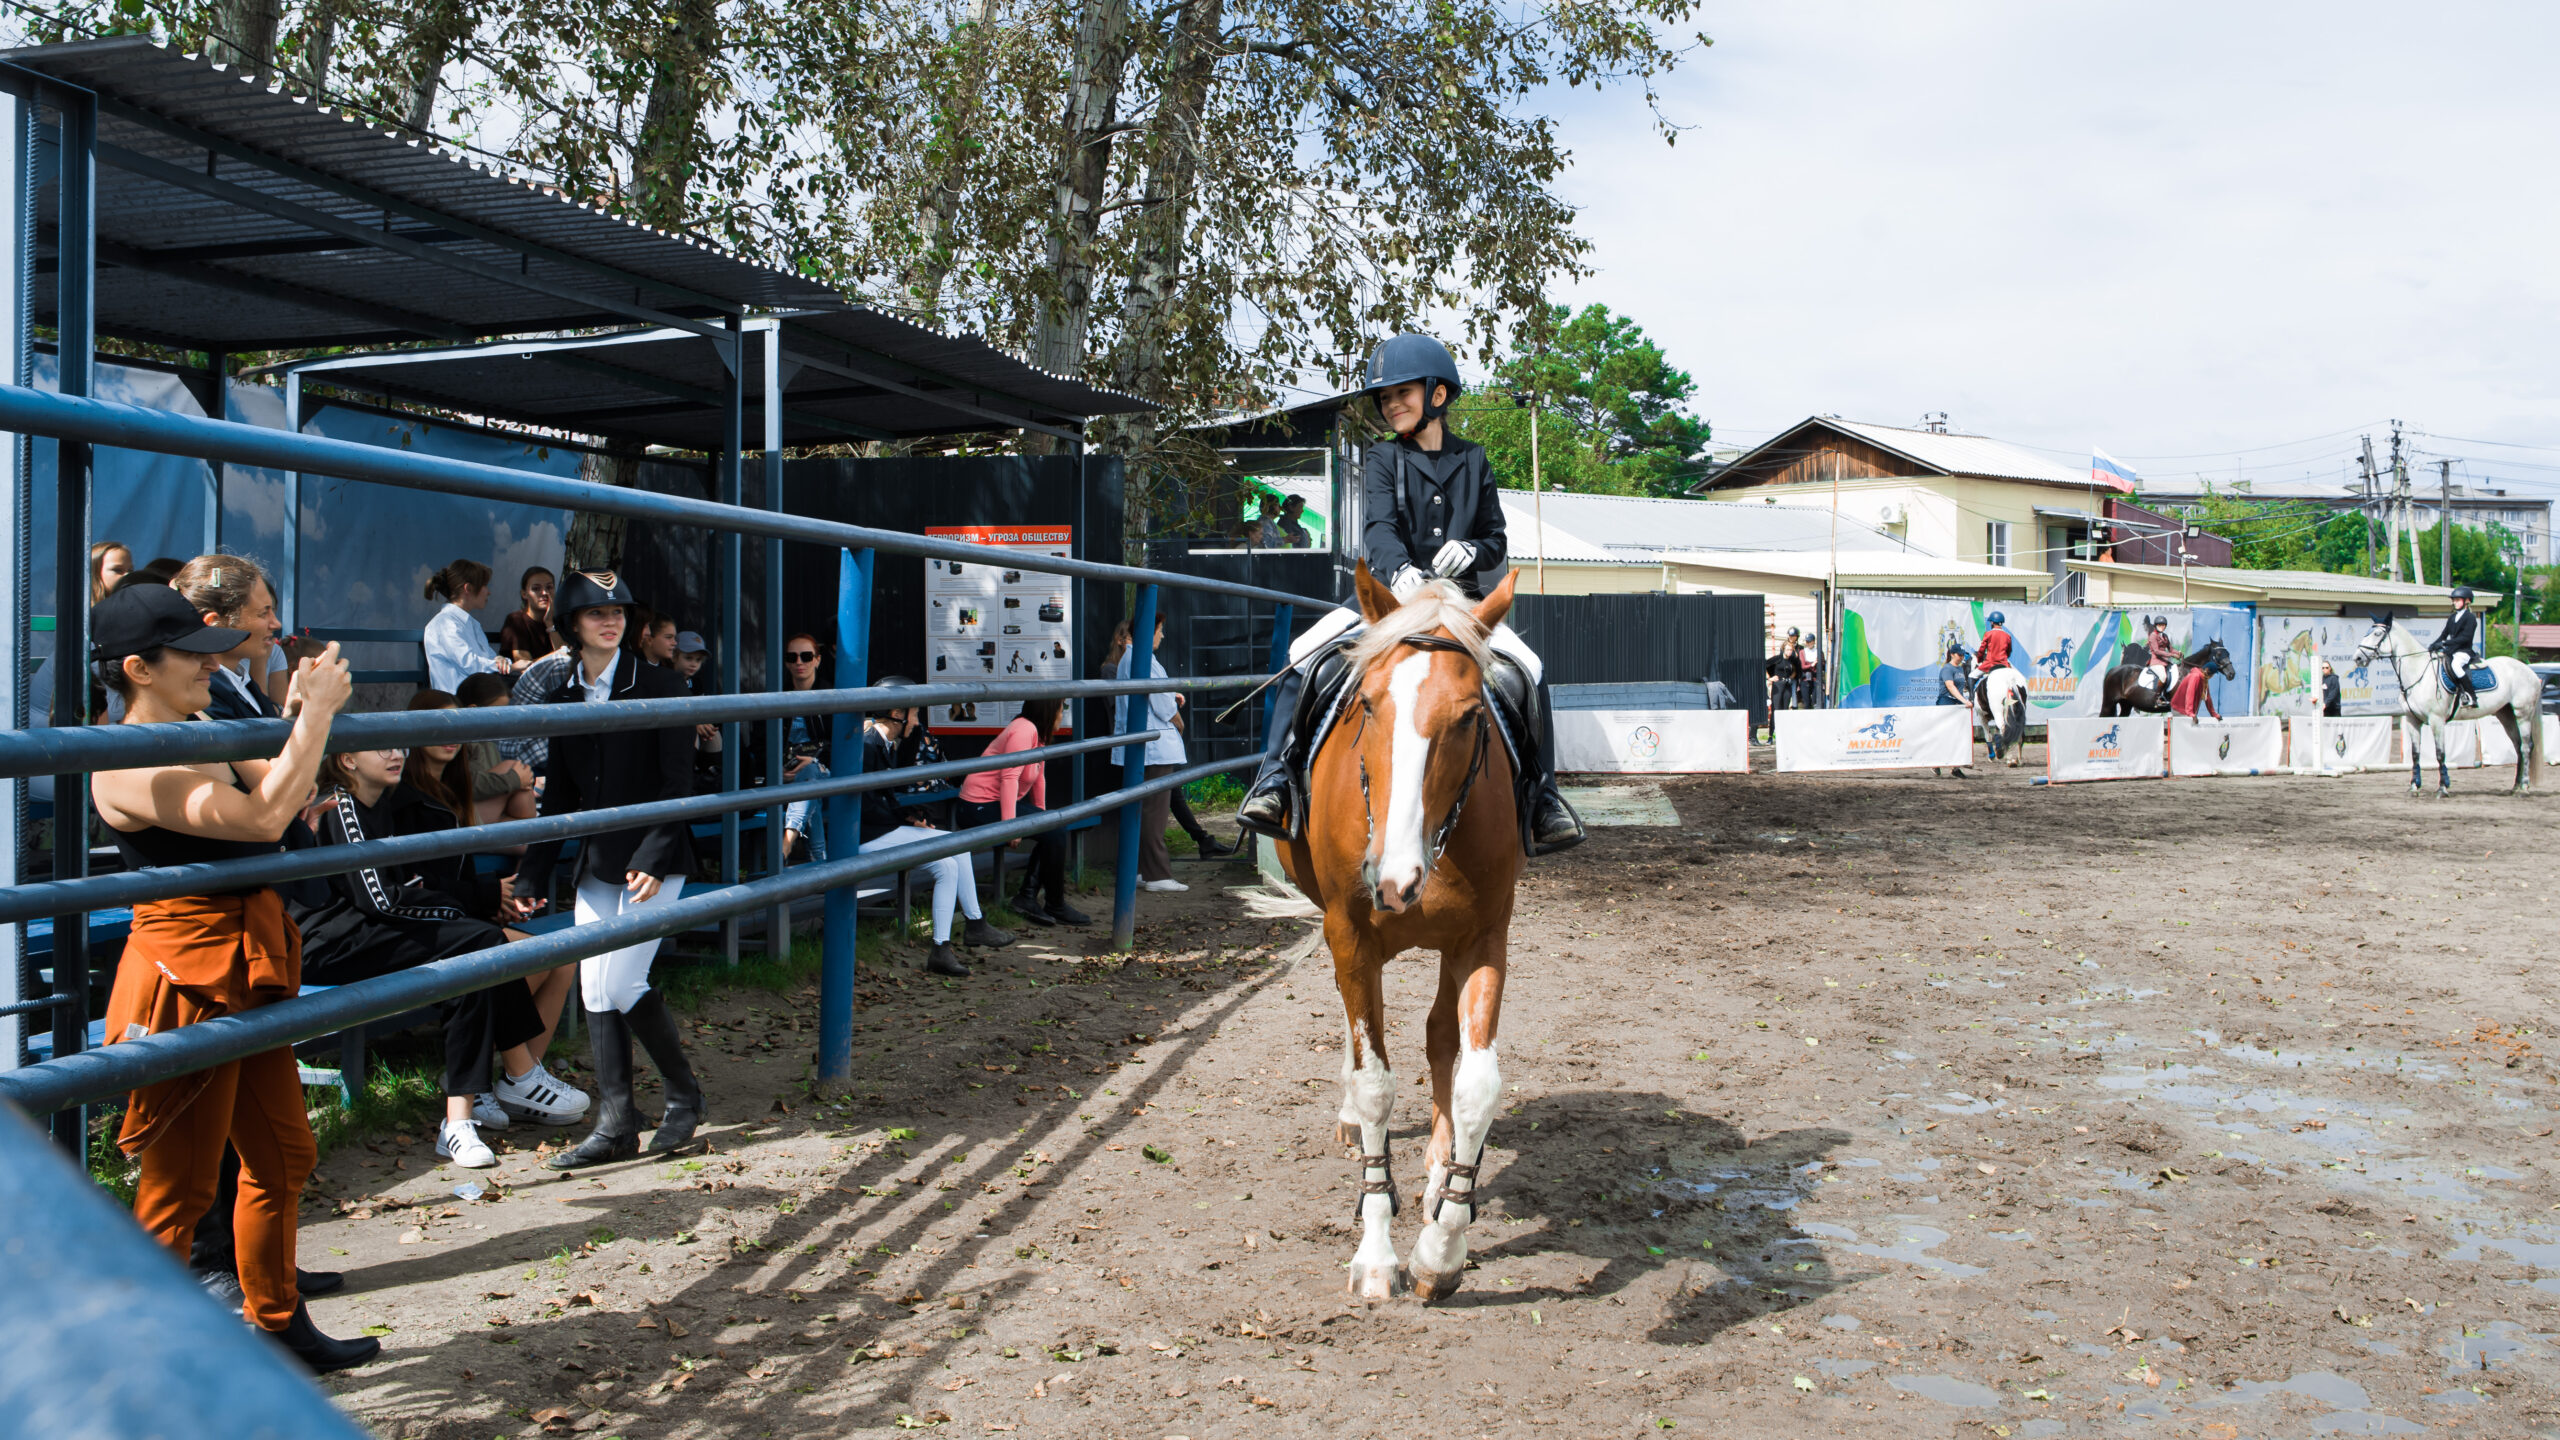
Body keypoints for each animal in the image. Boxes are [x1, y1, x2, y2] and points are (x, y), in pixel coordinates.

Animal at [1274, 561, 1515, 1301]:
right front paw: (1377, 1253)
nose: (1394, 879)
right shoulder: (1349, 938)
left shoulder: (1484, 939)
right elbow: (1374, 1081)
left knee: (1439, 1039)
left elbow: (1473, 1082)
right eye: (1369, 705)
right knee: (1363, 1047)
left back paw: (1438, 1172)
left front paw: (1442, 1248)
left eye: (1470, 716)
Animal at [2355, 614, 2539, 794]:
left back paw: (2524, 786)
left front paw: (2443, 787)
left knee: (2526, 746)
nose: (2357, 657)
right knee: (2518, 745)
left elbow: (2440, 753)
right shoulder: (2412, 720)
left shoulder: (2437, 720)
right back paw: (2515, 786)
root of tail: (2530, 672)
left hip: (2523, 714)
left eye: (2377, 634)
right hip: (2505, 714)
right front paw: (2414, 786)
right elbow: (2415, 754)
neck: (2418, 673)